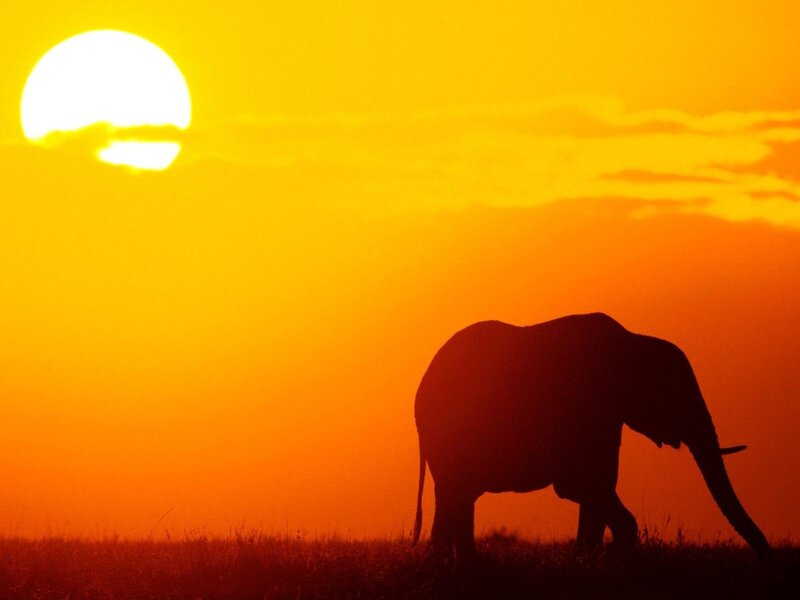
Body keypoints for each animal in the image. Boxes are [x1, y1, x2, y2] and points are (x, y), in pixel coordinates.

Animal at [412, 313, 769, 559]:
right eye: (677, 395)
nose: (765, 554)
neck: (632, 342)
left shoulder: (607, 417)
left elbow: (594, 486)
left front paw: (587, 559)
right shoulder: (587, 409)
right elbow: (580, 484)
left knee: (456, 495)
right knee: (457, 493)